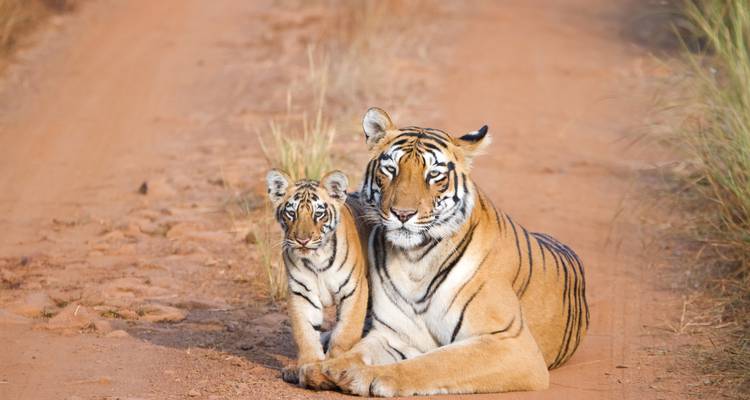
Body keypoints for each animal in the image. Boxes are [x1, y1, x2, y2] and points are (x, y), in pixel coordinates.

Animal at [265, 169, 369, 387]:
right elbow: (305, 333)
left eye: (318, 213)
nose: (302, 240)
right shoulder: (302, 293)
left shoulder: (355, 290)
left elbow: (345, 332)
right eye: (291, 213)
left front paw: (332, 366)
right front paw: (309, 366)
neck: (317, 259)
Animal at [298, 108, 589, 396]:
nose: (402, 214)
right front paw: (323, 368)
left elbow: (436, 363)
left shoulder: (511, 343)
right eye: (391, 169)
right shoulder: (394, 335)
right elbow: (357, 351)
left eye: (434, 175)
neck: (415, 260)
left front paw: (367, 376)